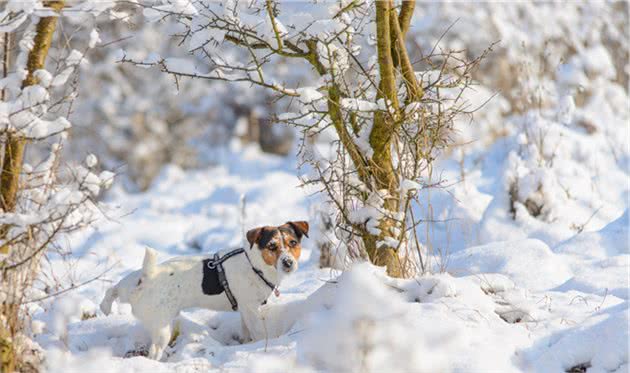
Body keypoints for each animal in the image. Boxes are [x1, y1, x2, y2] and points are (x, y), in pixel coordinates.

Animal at [100, 221, 310, 358]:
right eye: (272, 246)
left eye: (293, 243)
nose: (288, 263)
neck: (254, 264)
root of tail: (146, 279)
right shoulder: (251, 309)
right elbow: (259, 333)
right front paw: (261, 346)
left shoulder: (245, 310)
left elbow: (246, 331)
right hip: (162, 329)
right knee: (154, 352)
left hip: (129, 284)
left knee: (113, 289)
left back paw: (105, 307)